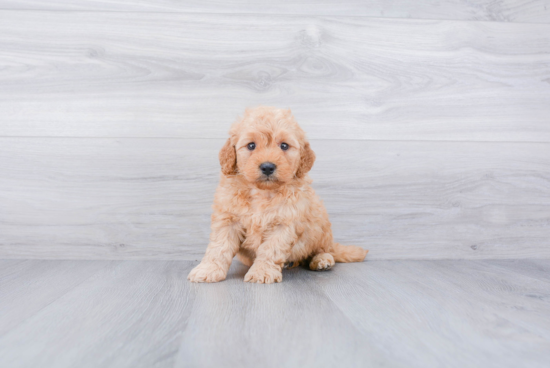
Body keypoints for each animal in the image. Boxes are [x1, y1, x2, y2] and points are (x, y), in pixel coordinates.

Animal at [190, 106, 370, 284]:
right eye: (251, 145)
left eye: (284, 146)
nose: (268, 167)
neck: (262, 191)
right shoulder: (228, 219)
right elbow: (219, 247)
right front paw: (208, 270)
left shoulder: (285, 223)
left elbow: (271, 249)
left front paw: (261, 272)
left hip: (321, 226)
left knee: (325, 249)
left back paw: (322, 260)